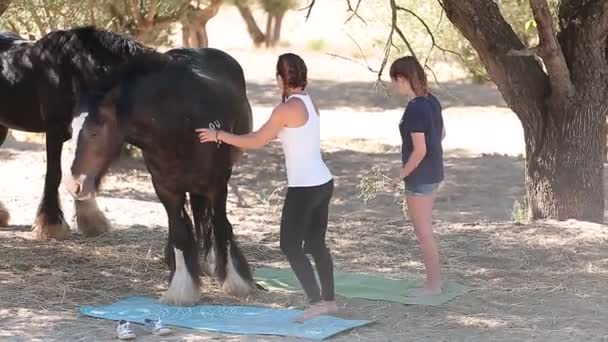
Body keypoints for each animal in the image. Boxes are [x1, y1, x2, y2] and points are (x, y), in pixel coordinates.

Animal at [65, 48, 255, 304]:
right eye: (71, 131)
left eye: (94, 133)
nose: (73, 184)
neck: (181, 125)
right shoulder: (166, 190)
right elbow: (180, 234)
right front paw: (181, 290)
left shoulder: (218, 187)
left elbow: (222, 227)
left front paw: (236, 283)